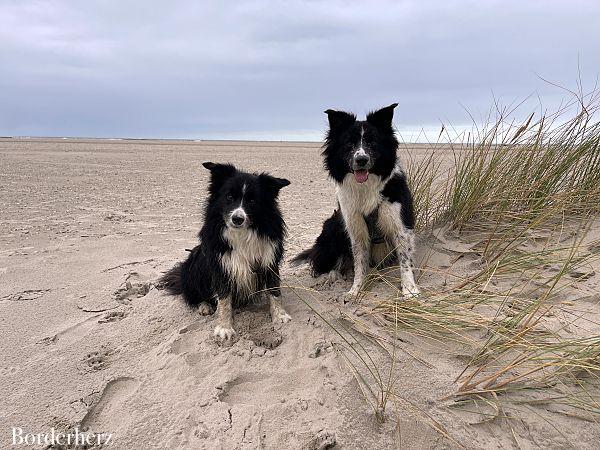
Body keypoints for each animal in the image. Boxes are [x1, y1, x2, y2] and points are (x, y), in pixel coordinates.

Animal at [159, 163, 290, 342]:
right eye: (229, 197)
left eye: (252, 201)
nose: (237, 219)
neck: (242, 233)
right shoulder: (222, 265)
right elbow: (224, 299)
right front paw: (224, 328)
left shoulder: (268, 259)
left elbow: (274, 290)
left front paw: (280, 316)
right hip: (194, 264)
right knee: (194, 296)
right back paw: (205, 306)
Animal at [292, 103, 420, 298]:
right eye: (349, 144)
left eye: (372, 143)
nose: (361, 159)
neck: (366, 188)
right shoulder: (355, 226)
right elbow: (359, 262)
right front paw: (356, 290)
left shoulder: (400, 225)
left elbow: (405, 261)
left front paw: (409, 290)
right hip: (332, 225)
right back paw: (332, 277)